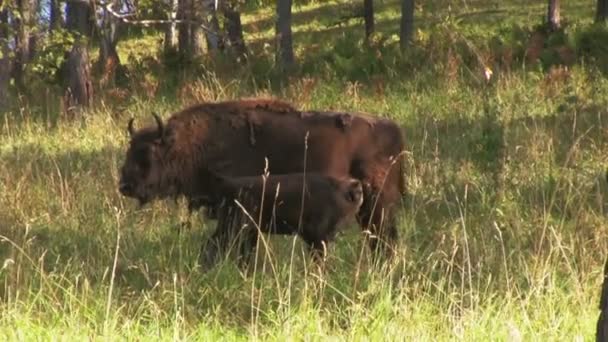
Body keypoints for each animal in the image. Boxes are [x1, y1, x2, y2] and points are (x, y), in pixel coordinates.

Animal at [200, 171, 364, 268]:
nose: (360, 195)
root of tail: (225, 182)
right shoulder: (317, 237)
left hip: (245, 230)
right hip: (233, 226)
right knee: (212, 244)